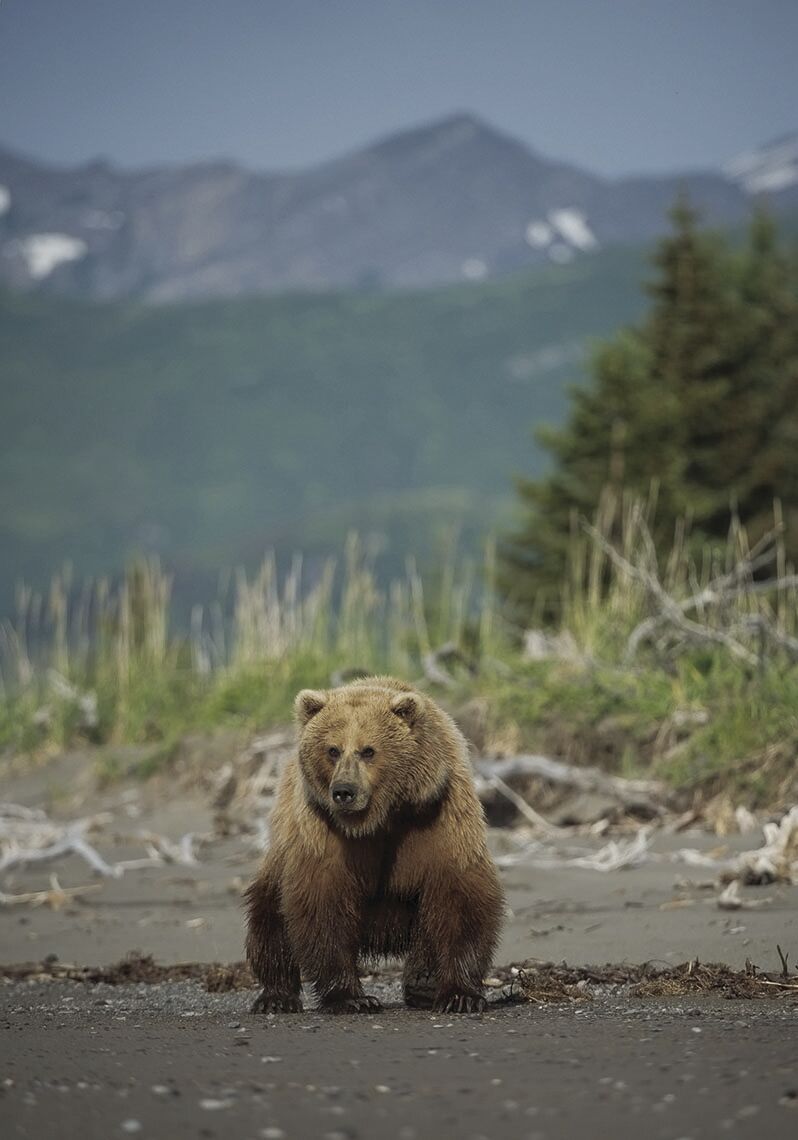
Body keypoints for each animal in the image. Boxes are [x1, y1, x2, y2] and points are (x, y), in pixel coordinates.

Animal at [245, 675, 504, 1014]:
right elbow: (323, 899)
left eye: (368, 750)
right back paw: (276, 996)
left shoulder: (438, 814)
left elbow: (459, 892)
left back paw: (423, 984)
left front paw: (461, 995)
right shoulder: (326, 827)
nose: (344, 791)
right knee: (270, 913)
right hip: (284, 838)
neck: (383, 817)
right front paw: (351, 997)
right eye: (332, 750)